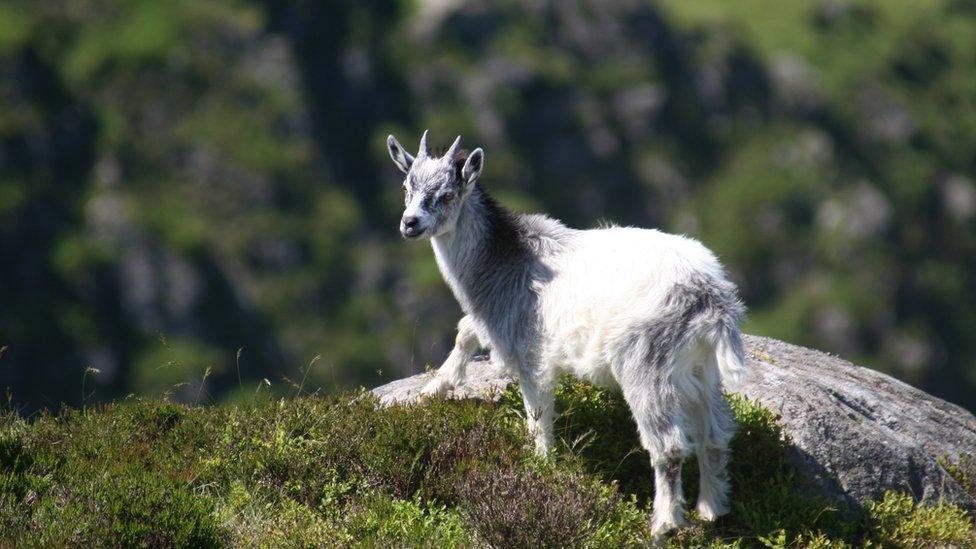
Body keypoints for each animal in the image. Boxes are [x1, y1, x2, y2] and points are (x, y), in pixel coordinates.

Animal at [386, 131, 744, 536]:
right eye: (406, 187)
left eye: (447, 195)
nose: (410, 223)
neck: (507, 259)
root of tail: (711, 296)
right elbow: (465, 331)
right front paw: (434, 388)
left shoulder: (529, 352)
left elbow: (537, 418)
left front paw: (540, 469)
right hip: (700, 369)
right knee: (714, 435)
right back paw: (711, 508)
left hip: (647, 364)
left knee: (669, 446)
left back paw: (663, 526)